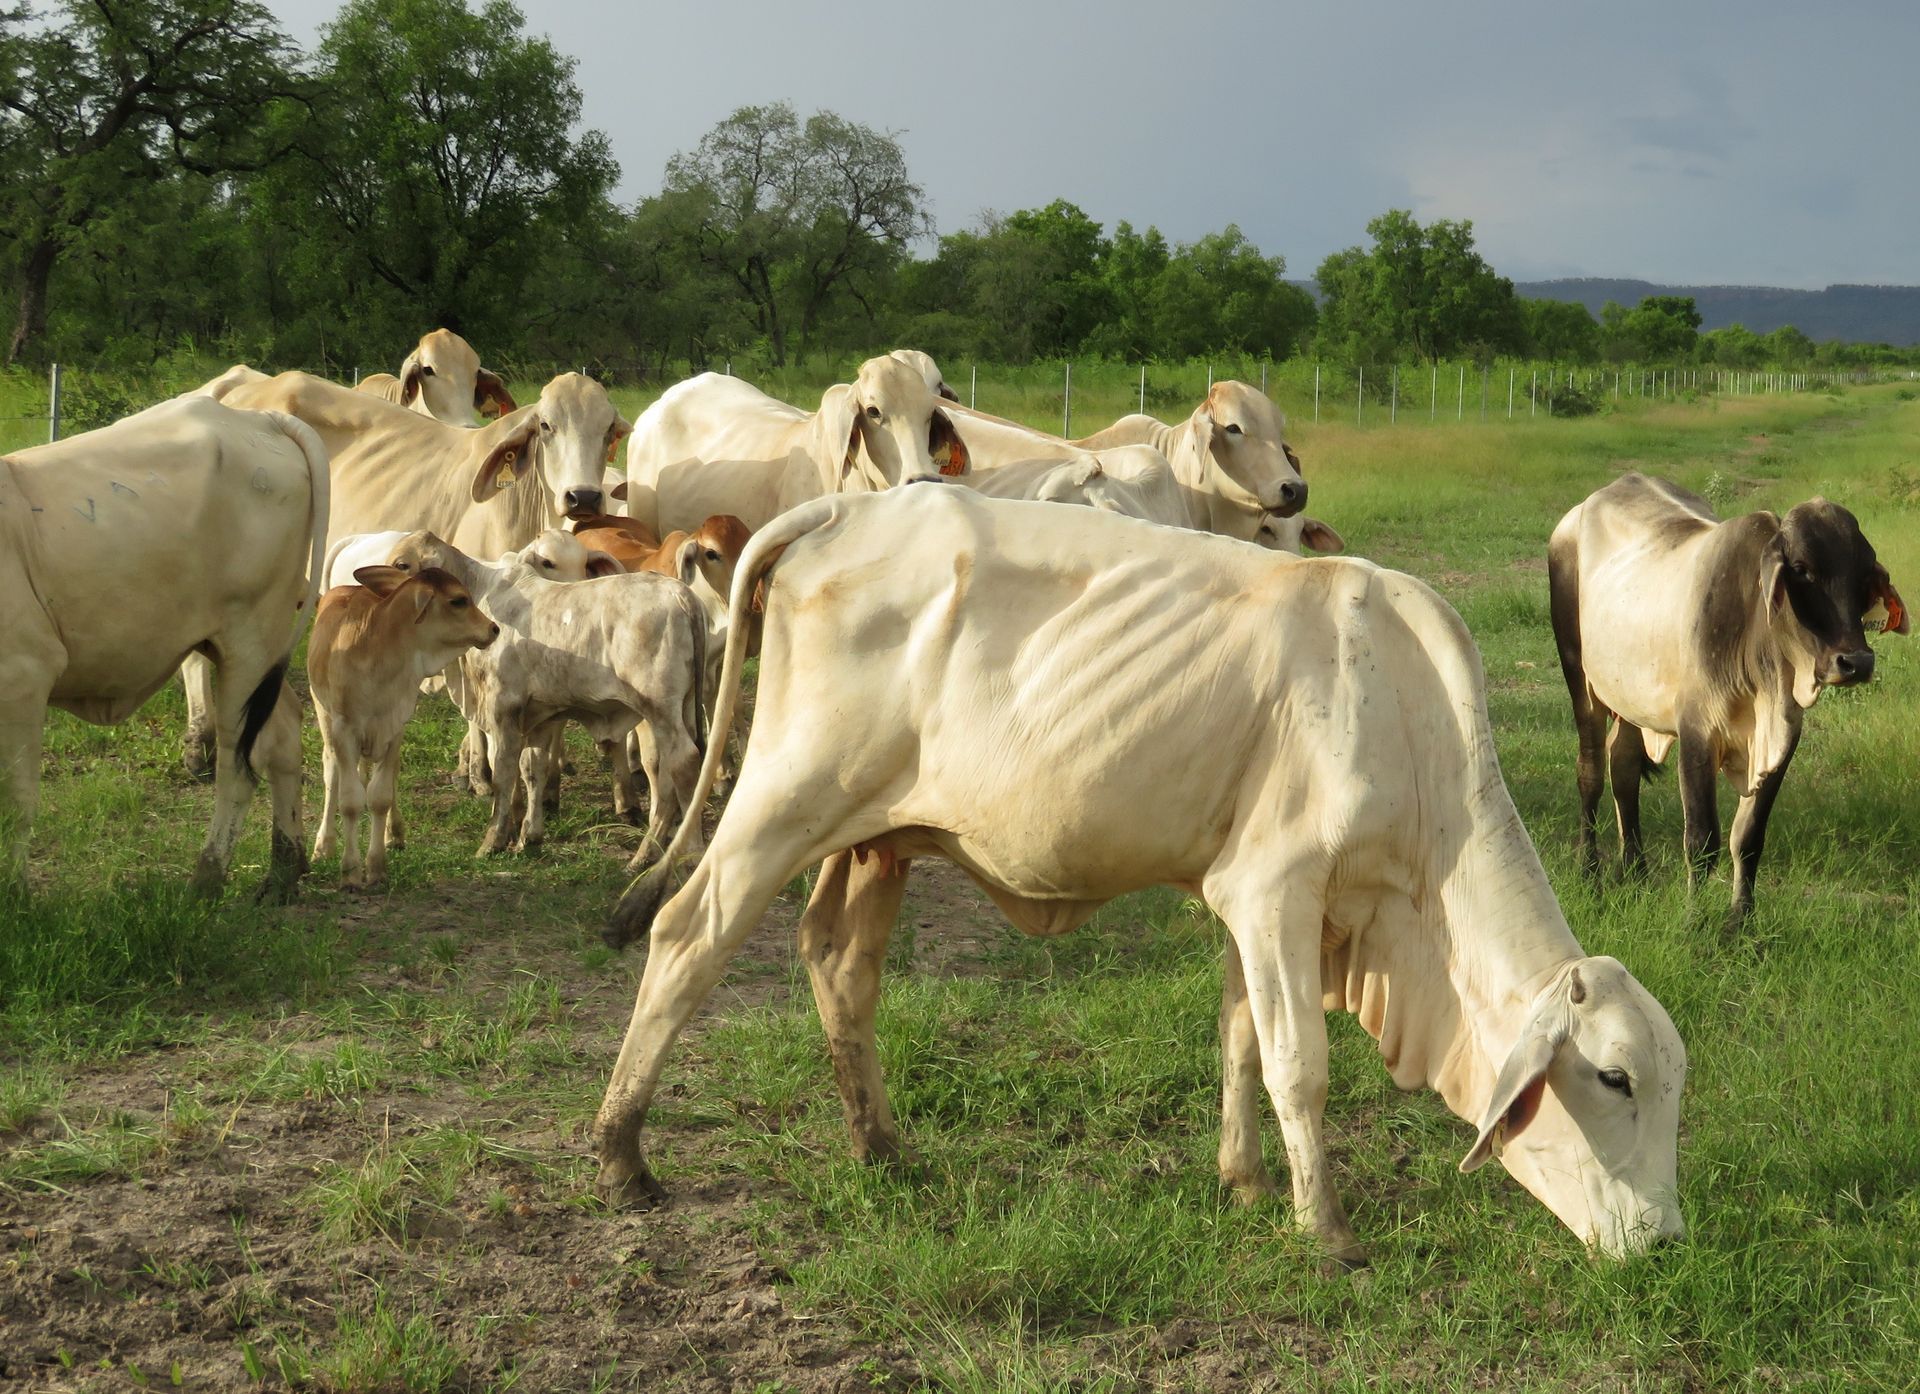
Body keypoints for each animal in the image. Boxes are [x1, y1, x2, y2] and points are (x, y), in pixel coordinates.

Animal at [1, 395, 328, 900]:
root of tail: (260, 418)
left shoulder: (23, 675)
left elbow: (15, 803)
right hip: (245, 651)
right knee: (284, 735)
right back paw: (282, 871)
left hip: (249, 644)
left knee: (238, 768)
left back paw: (208, 877)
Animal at [308, 566, 499, 889]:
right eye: (459, 600)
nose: (494, 628)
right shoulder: (344, 729)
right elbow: (350, 800)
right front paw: (350, 871)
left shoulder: (394, 728)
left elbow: (380, 797)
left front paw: (376, 866)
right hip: (325, 717)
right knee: (332, 773)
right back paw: (324, 845)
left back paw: (393, 834)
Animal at [593, 486, 1688, 1263]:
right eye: (1614, 1077)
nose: (1666, 1241)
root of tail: (842, 507)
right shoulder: (1277, 892)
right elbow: (1300, 1064)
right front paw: (1326, 1228)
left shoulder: (1251, 899)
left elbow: (1243, 1039)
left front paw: (1246, 1182)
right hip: (784, 799)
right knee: (687, 934)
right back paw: (623, 1150)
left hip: (880, 838)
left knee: (837, 964)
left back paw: (881, 1145)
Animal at [1549, 472, 1907, 928]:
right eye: (1801, 570)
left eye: (1864, 575)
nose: (1855, 662)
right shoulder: (1697, 734)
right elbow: (1702, 840)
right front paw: (1694, 921)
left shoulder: (1782, 740)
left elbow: (1748, 838)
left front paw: (1741, 921)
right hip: (1580, 676)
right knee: (1591, 770)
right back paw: (1590, 871)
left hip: (1631, 700)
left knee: (1623, 766)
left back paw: (1636, 872)